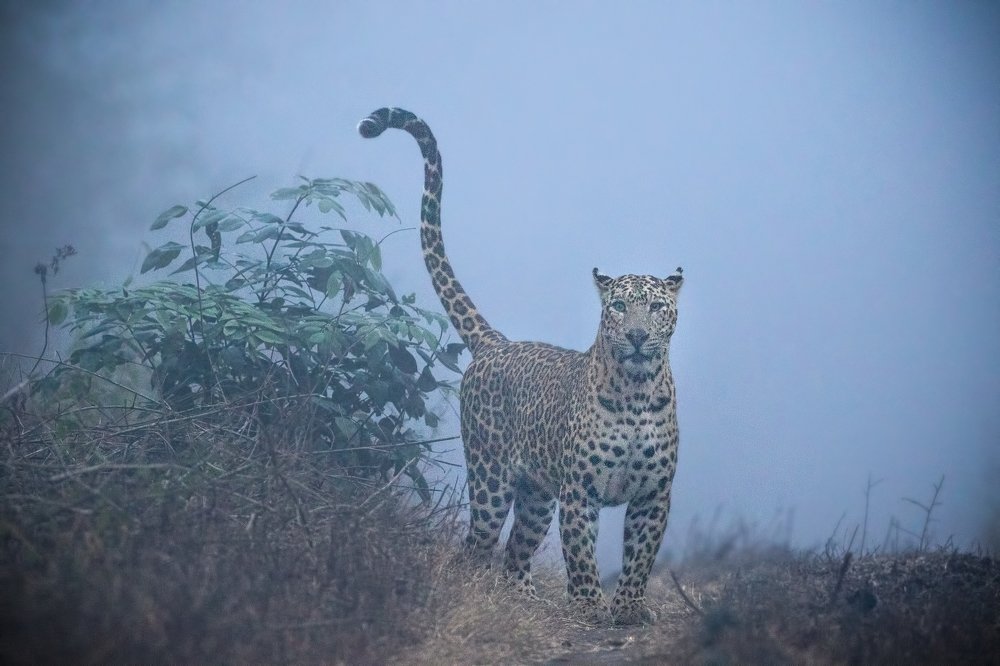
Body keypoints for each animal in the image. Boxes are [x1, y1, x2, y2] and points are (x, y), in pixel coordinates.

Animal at [359, 107, 683, 626]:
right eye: (617, 306)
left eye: (655, 307)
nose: (635, 335)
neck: (635, 389)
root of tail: (497, 344)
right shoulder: (580, 490)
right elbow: (581, 551)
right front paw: (589, 606)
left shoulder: (654, 494)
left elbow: (640, 555)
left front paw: (630, 608)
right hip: (491, 480)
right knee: (477, 546)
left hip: (536, 496)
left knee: (516, 551)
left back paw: (526, 599)